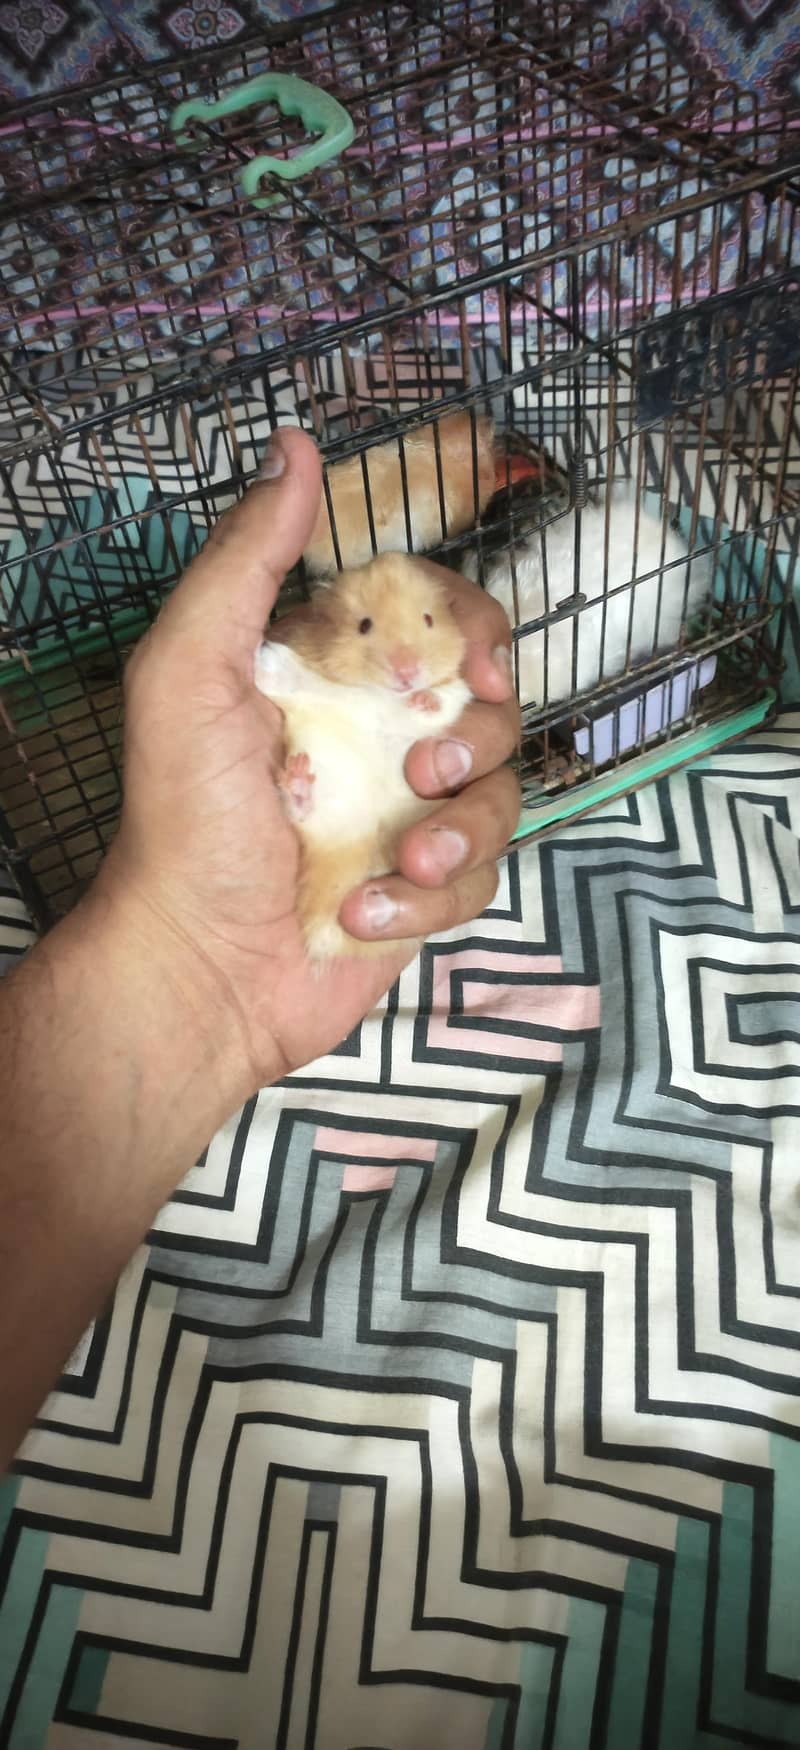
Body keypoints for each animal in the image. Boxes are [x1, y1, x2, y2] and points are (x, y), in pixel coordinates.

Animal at [254, 552, 472, 962]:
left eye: (428, 620)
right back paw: (298, 778)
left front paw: (422, 698)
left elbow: (442, 700)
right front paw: (265, 658)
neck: (380, 692)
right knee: (304, 814)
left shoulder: (456, 692)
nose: (406, 672)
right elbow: (304, 682)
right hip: (331, 789)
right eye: (364, 625)